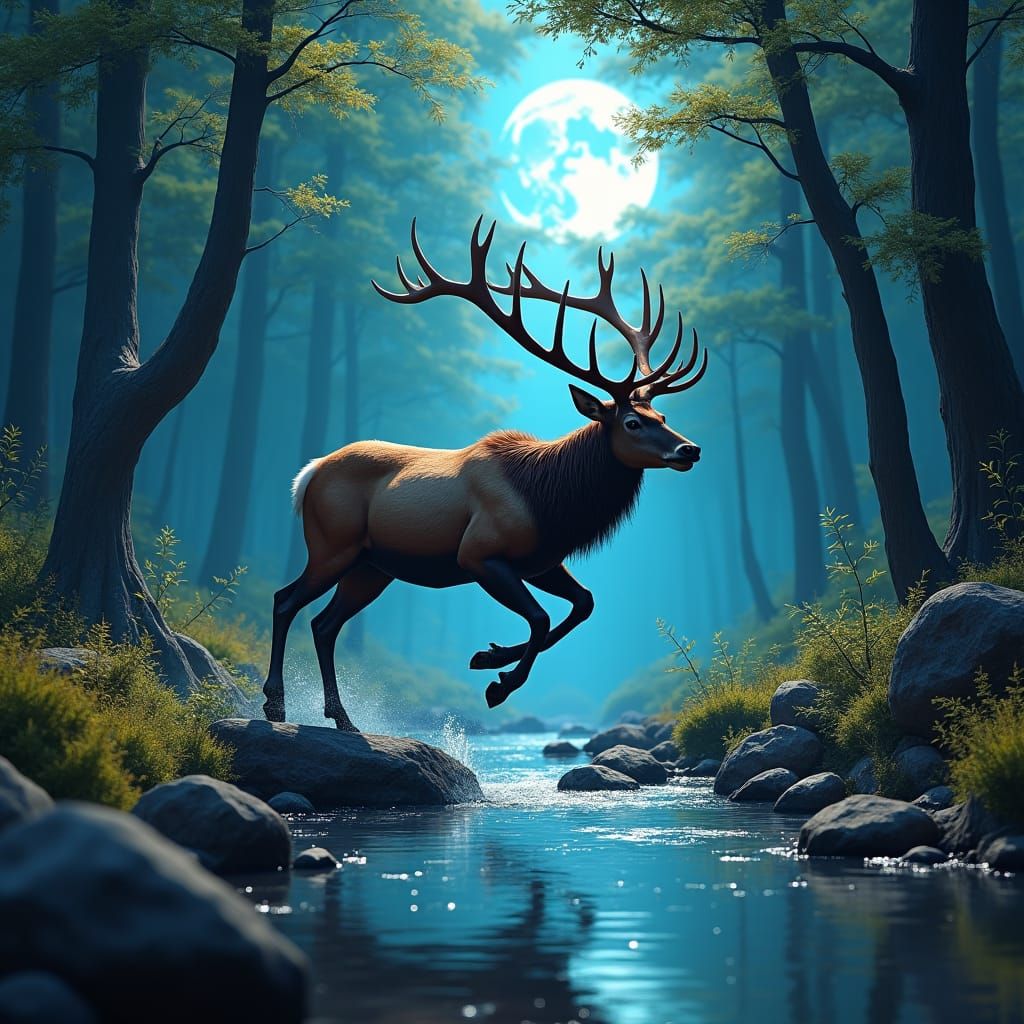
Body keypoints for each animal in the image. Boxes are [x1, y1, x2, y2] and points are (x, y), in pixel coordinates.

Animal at [262, 219, 707, 731]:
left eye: (662, 415)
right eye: (632, 422)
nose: (690, 449)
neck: (551, 503)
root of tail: (307, 476)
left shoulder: (542, 560)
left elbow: (582, 604)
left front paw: (490, 658)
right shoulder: (478, 553)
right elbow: (540, 618)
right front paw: (499, 683)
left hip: (372, 566)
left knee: (324, 623)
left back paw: (343, 718)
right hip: (333, 545)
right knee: (285, 600)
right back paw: (275, 703)